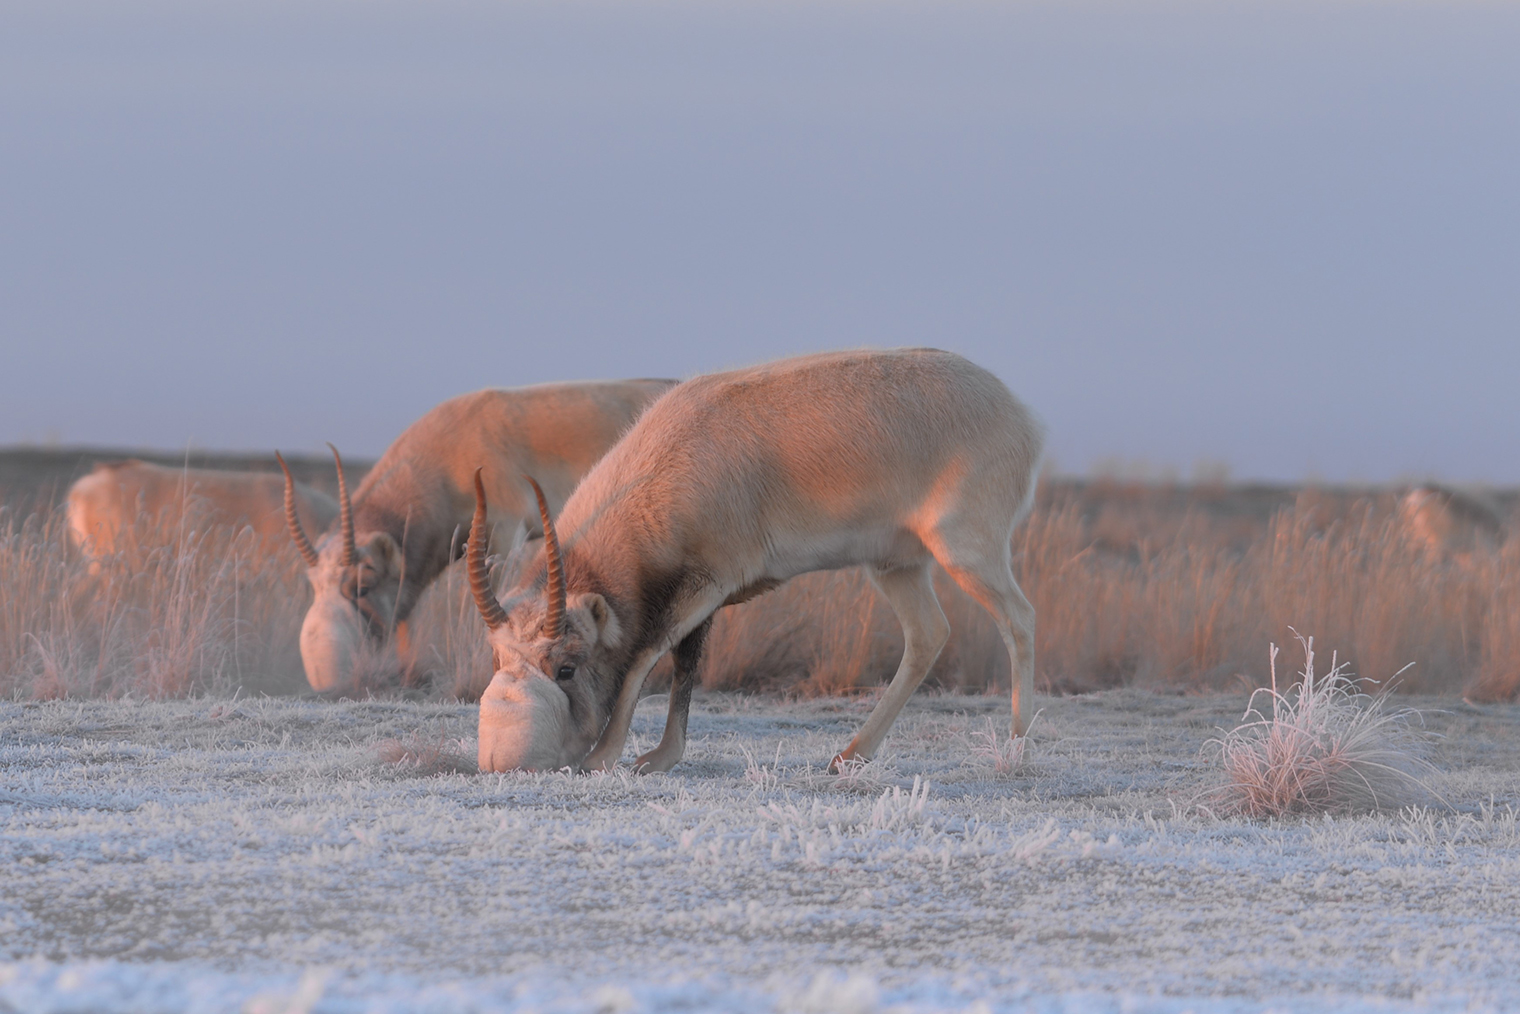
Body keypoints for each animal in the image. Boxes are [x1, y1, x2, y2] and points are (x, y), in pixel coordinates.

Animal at [471, 346, 1045, 769]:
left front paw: (606, 756)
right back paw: (850, 756)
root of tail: (1023, 419)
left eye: (566, 667)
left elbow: (649, 651)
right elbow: (686, 661)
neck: (674, 452)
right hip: (895, 566)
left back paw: (1016, 751)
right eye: (497, 659)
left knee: (1019, 620)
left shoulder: (709, 581)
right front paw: (662, 757)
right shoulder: (703, 592)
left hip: (966, 552)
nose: (503, 759)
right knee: (928, 634)